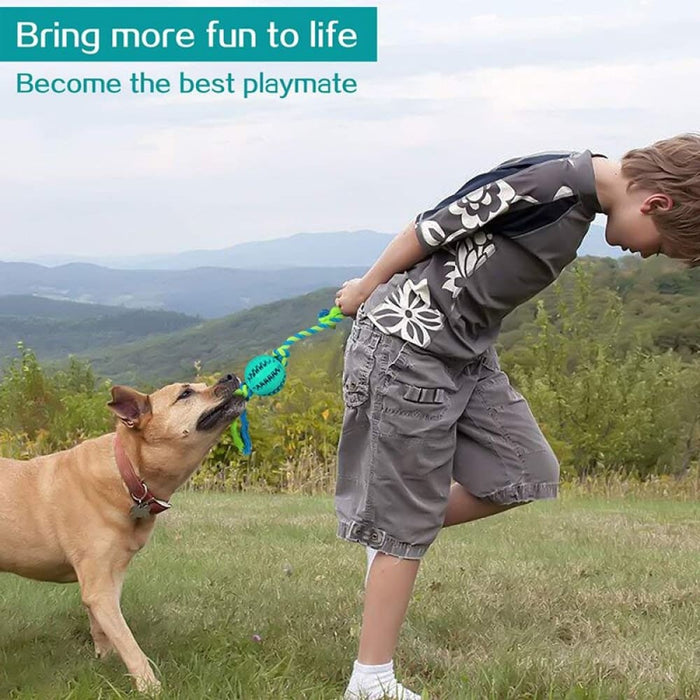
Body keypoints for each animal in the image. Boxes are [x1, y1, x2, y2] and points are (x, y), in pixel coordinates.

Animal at [0, 374, 245, 692]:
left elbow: (104, 630)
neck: (128, 473)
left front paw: (104, 663)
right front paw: (150, 687)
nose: (230, 376)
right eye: (185, 394)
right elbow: (129, 642)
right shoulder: (99, 589)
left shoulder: (110, 578)